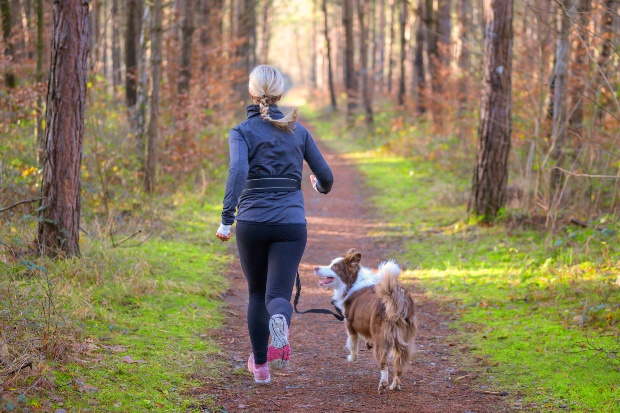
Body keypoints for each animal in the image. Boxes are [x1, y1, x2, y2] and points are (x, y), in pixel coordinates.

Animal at [314, 246, 416, 392]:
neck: (353, 282)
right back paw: (394, 386)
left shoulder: (350, 325)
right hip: (404, 342)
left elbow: (353, 345)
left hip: (382, 339)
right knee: (399, 366)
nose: (315, 268)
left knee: (384, 364)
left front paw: (351, 358)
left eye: (335, 267)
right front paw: (368, 343)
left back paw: (383, 384)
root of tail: (397, 300)